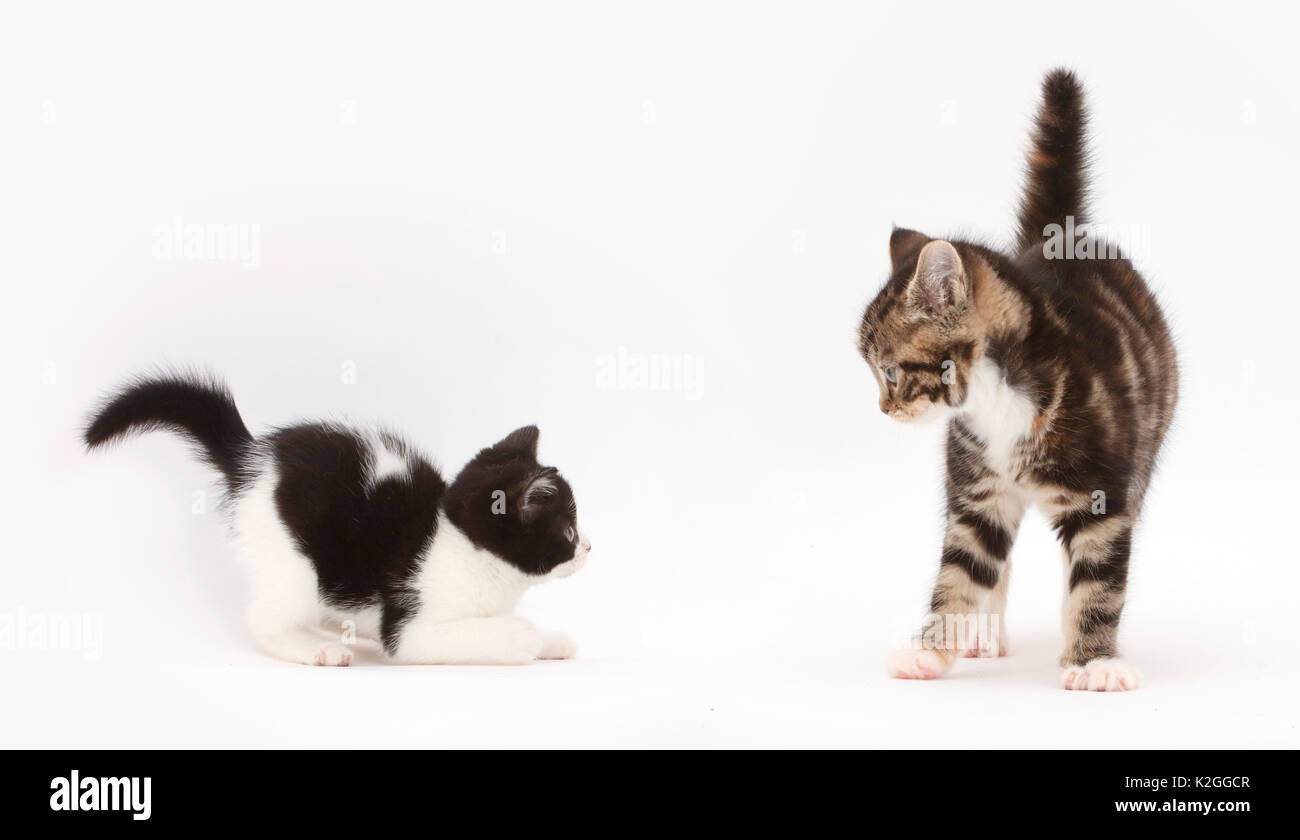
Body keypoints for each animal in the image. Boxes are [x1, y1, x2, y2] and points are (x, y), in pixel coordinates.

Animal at [81, 379, 590, 665]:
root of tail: (252, 457)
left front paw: (551, 640)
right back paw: (314, 649)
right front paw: (522, 636)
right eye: (567, 530)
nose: (589, 547)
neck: (463, 545)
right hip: (291, 561)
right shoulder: (410, 625)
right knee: (265, 620)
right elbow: (452, 636)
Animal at [863, 70, 1180, 691]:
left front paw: (1094, 661)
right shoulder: (977, 495)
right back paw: (985, 634)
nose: (882, 410)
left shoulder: (1104, 495)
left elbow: (1099, 578)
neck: (995, 397)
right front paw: (931, 651)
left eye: (888, 371)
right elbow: (962, 570)